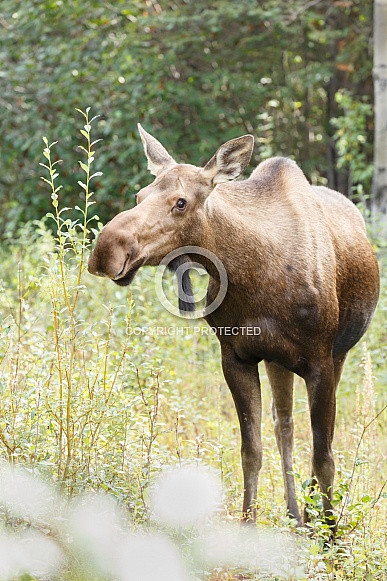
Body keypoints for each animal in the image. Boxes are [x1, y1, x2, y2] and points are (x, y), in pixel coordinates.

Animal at [87, 124, 378, 528]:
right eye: (140, 194)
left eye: (181, 202)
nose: (107, 249)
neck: (252, 274)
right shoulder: (236, 357)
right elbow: (250, 451)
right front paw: (250, 527)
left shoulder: (321, 360)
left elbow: (324, 457)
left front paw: (331, 533)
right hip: (277, 360)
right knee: (284, 424)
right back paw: (295, 512)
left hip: (338, 354)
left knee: (313, 436)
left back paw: (311, 515)